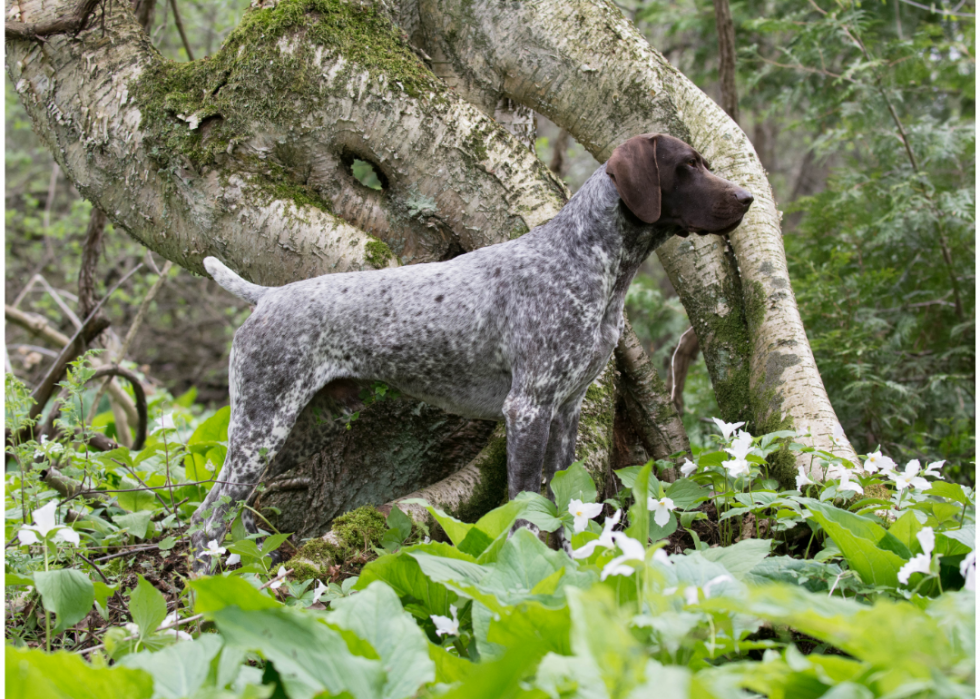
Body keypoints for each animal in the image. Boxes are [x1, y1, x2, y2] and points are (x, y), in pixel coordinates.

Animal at [193, 133, 756, 564]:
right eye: (688, 166)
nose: (748, 197)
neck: (587, 259)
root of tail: (268, 296)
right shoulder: (528, 408)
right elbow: (525, 505)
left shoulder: (566, 410)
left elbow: (565, 503)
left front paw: (568, 573)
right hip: (262, 427)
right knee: (208, 519)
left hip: (292, 430)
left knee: (213, 510)